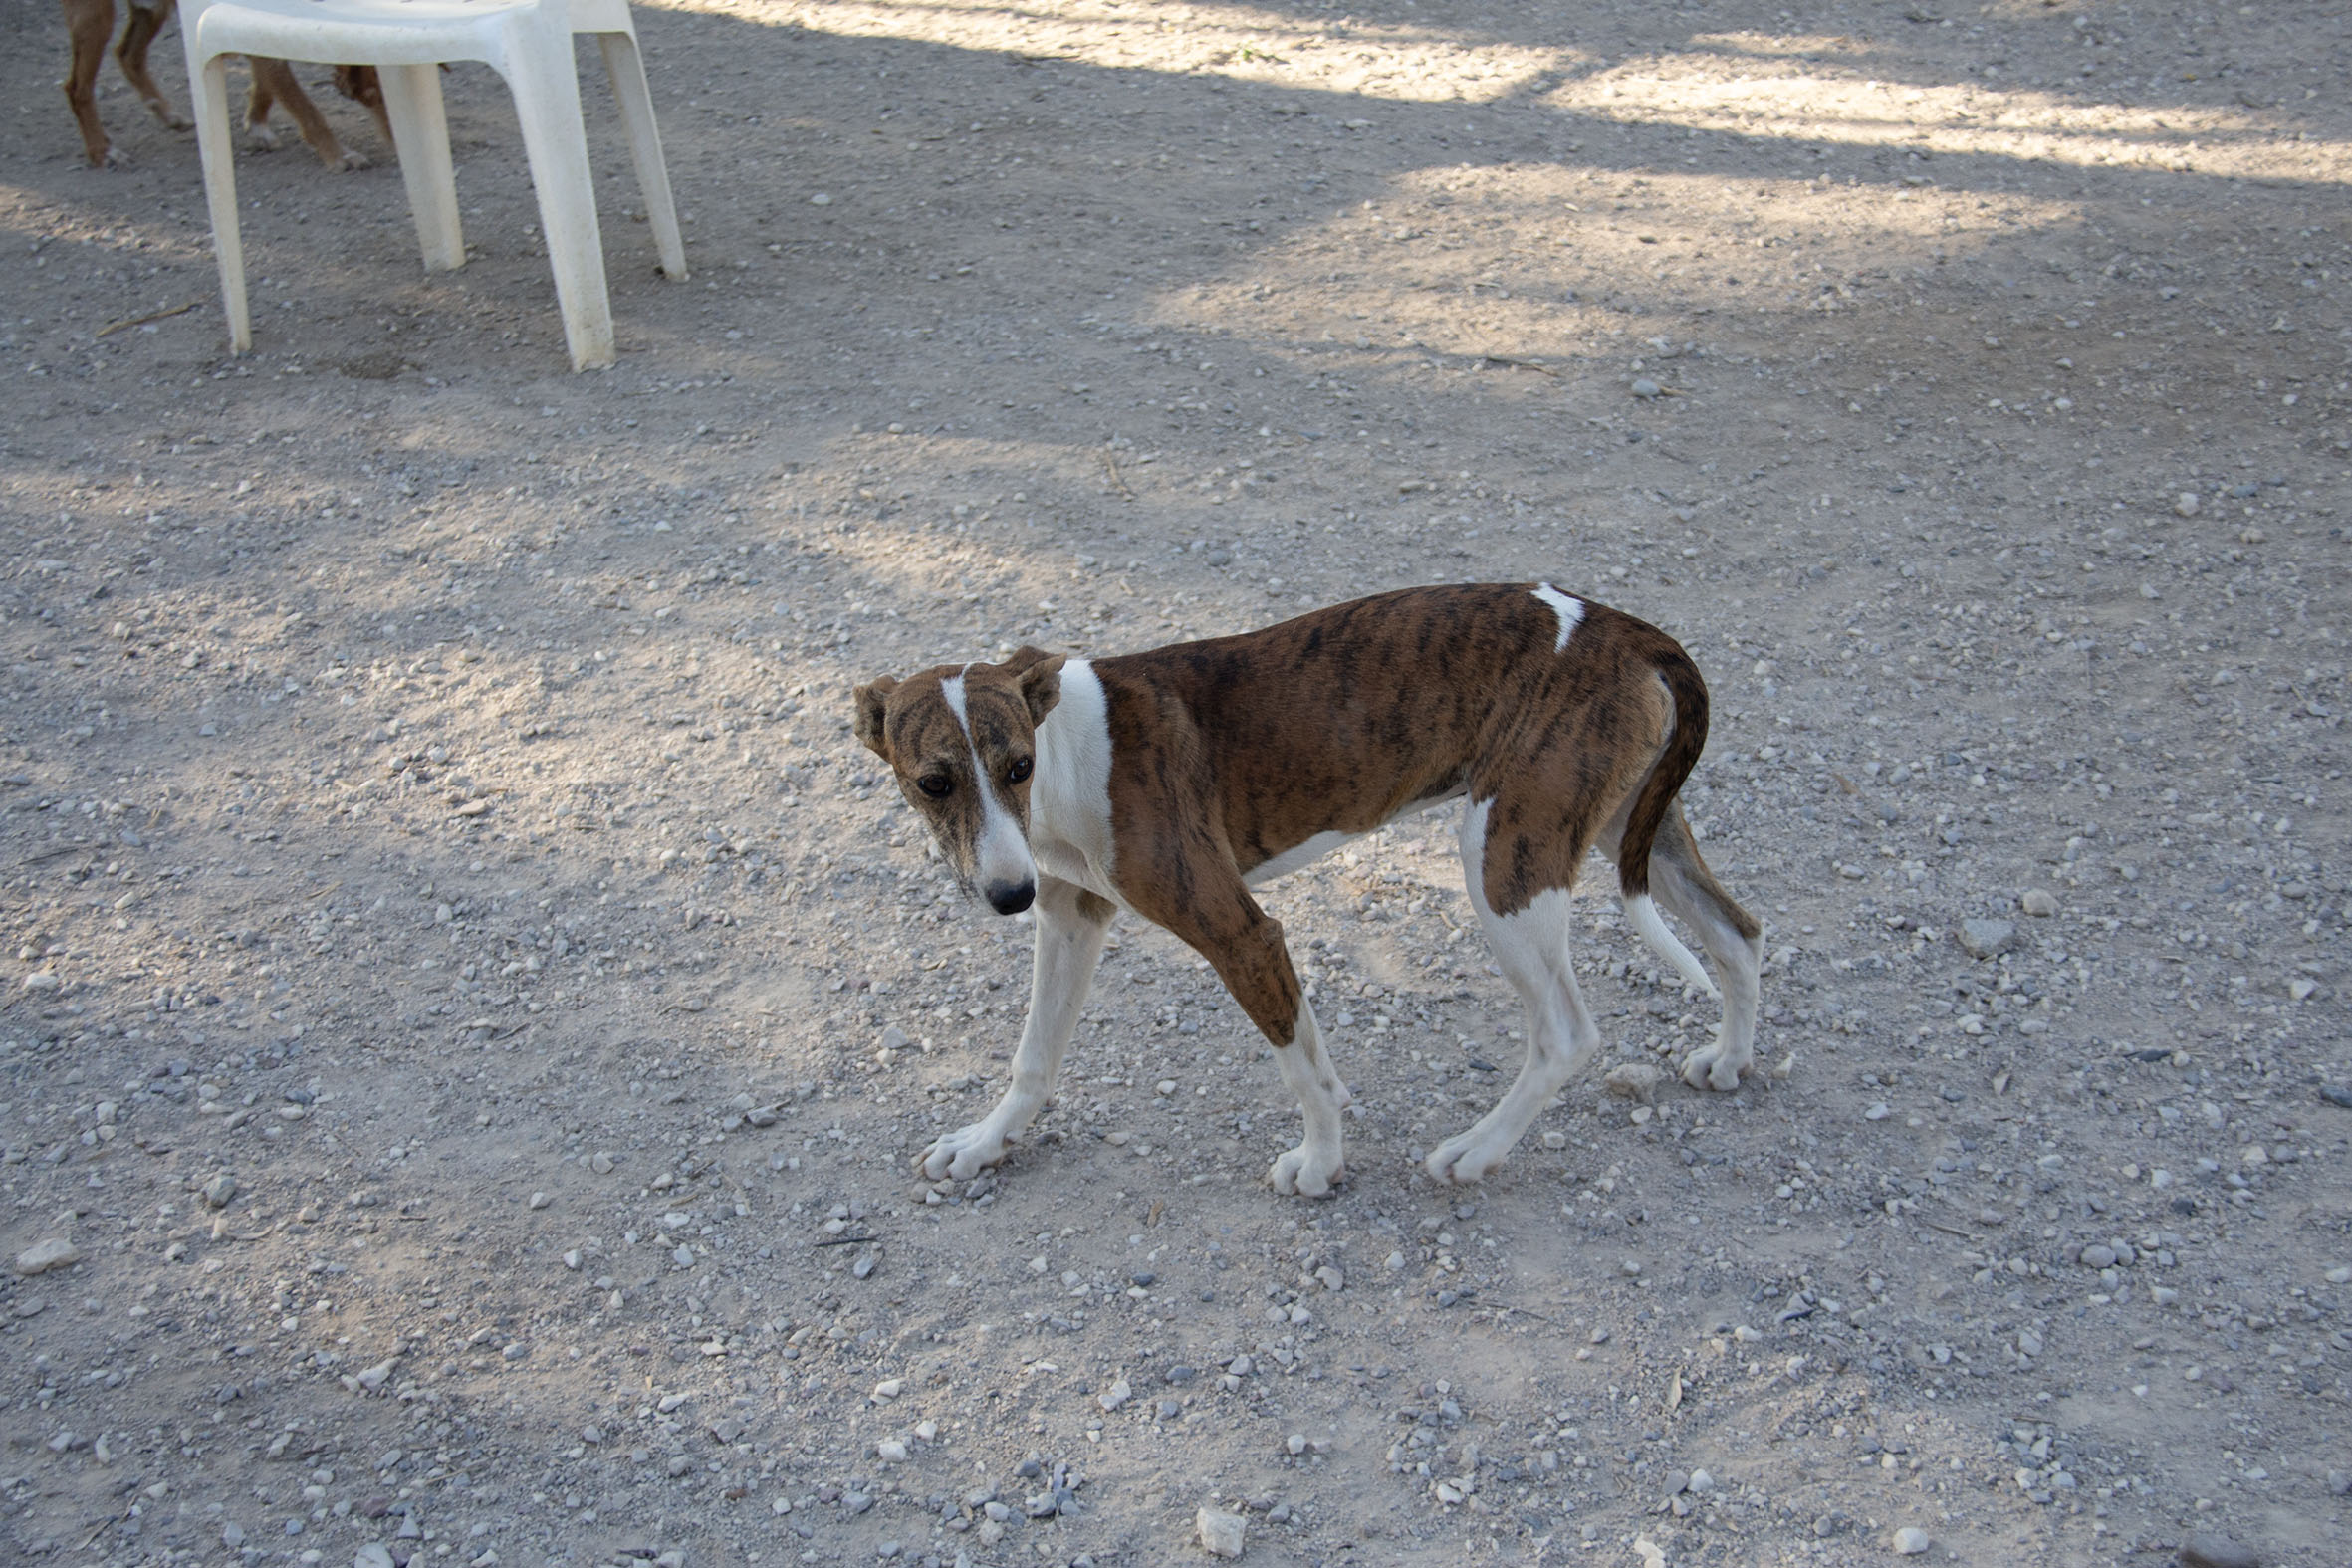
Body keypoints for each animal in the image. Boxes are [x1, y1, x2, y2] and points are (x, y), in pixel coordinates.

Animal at [62, 0, 389, 170]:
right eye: (375, 94)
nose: (394, 143)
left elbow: (267, 87)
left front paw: (256, 125)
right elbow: (303, 106)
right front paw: (338, 155)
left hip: (151, 9)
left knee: (127, 54)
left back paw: (167, 114)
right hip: (96, 15)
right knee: (76, 87)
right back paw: (102, 151)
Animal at [853, 583, 1763, 1196]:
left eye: (1016, 766)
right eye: (934, 783)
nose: (1007, 895)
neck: (1070, 754)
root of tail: (1627, 630)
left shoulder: (1241, 933)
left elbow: (1304, 1068)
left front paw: (1322, 1163)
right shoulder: (1072, 915)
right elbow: (1033, 1056)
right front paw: (985, 1142)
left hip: (1506, 858)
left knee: (1568, 1035)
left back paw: (1477, 1148)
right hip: (1624, 823)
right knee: (1740, 932)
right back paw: (1728, 1060)